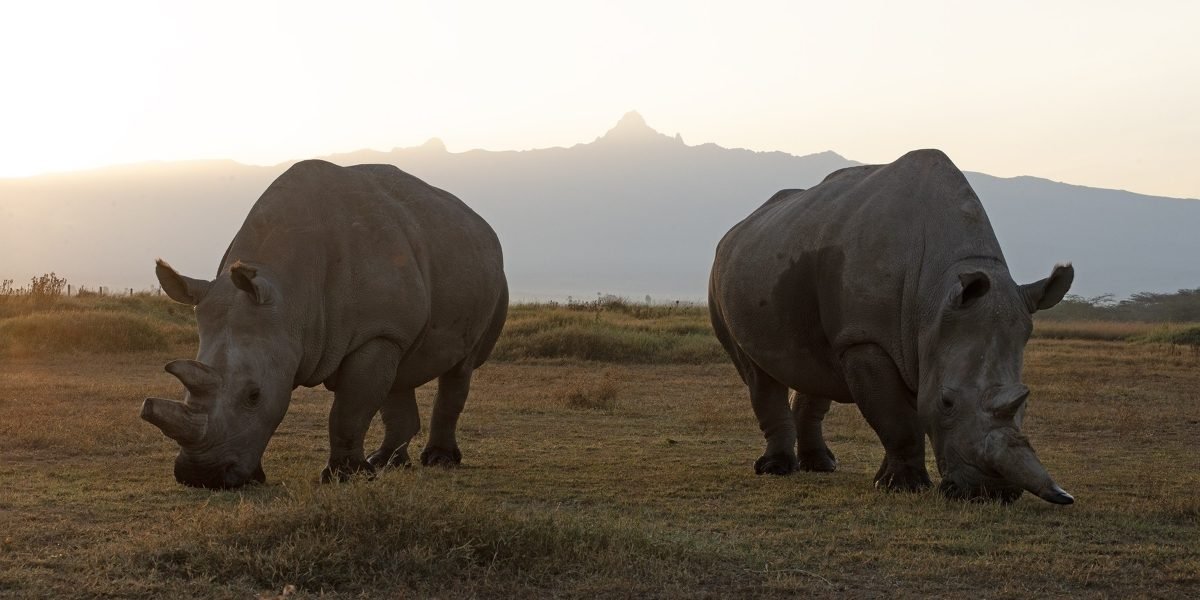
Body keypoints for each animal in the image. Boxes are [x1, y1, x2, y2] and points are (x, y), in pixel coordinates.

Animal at [141, 160, 508, 489]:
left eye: (254, 395)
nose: (201, 477)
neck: (291, 298)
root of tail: (482, 225)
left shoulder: (375, 333)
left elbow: (349, 409)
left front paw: (345, 477)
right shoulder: (308, 333)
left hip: (490, 278)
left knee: (459, 369)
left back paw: (438, 460)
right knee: (400, 372)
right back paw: (387, 463)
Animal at [708, 149, 1074, 504]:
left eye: (1026, 402)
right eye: (947, 402)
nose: (991, 493)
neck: (936, 292)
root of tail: (736, 230)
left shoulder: (921, 339)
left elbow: (905, 412)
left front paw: (886, 481)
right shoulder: (866, 339)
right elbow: (897, 418)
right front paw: (905, 487)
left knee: (815, 367)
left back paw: (822, 466)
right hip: (721, 276)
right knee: (758, 373)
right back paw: (776, 469)